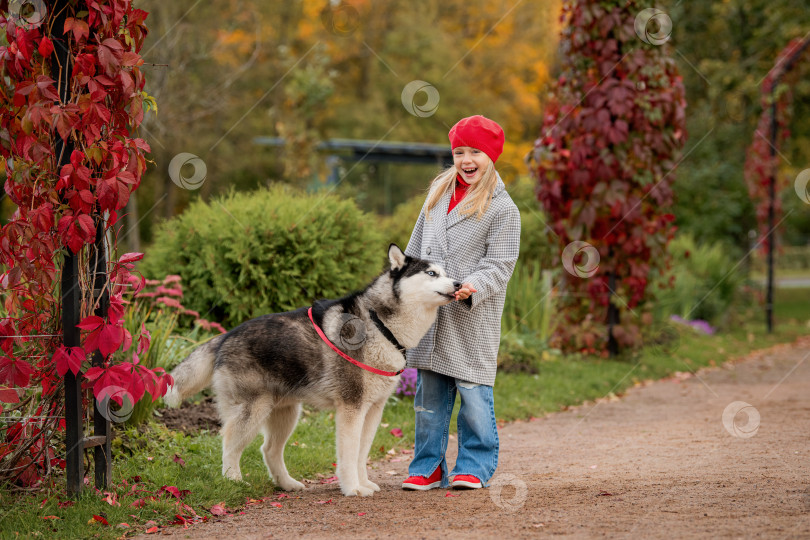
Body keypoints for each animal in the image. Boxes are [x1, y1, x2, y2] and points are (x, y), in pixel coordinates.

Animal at [166, 245, 454, 498]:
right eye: (431, 273)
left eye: (445, 272)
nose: (457, 283)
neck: (379, 323)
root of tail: (225, 336)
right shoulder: (351, 408)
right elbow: (349, 454)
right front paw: (352, 488)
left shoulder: (373, 410)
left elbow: (362, 453)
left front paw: (364, 483)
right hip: (253, 410)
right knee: (229, 443)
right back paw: (233, 481)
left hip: (286, 413)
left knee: (269, 449)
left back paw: (286, 484)